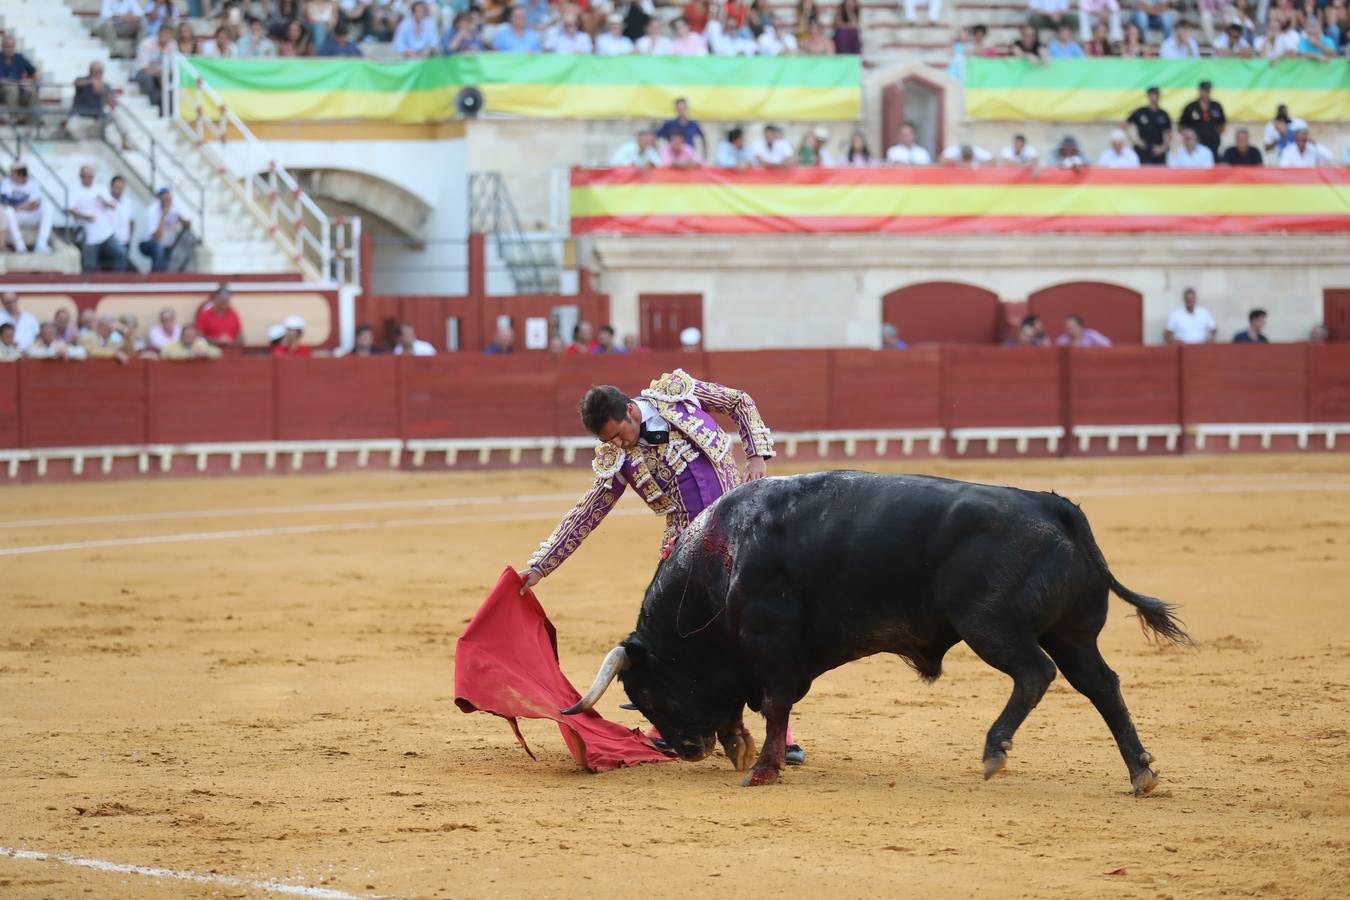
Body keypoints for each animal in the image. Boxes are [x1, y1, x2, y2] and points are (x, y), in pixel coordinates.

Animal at [564, 472, 1188, 793]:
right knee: (1101, 684)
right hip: (1073, 633)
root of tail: (1053, 507)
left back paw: (995, 752)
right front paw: (743, 750)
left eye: (646, 691)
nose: (684, 750)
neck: (722, 558)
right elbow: (754, 705)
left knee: (1035, 673)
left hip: (992, 626)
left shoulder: (771, 643)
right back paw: (1142, 773)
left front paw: (762, 769)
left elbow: (775, 702)